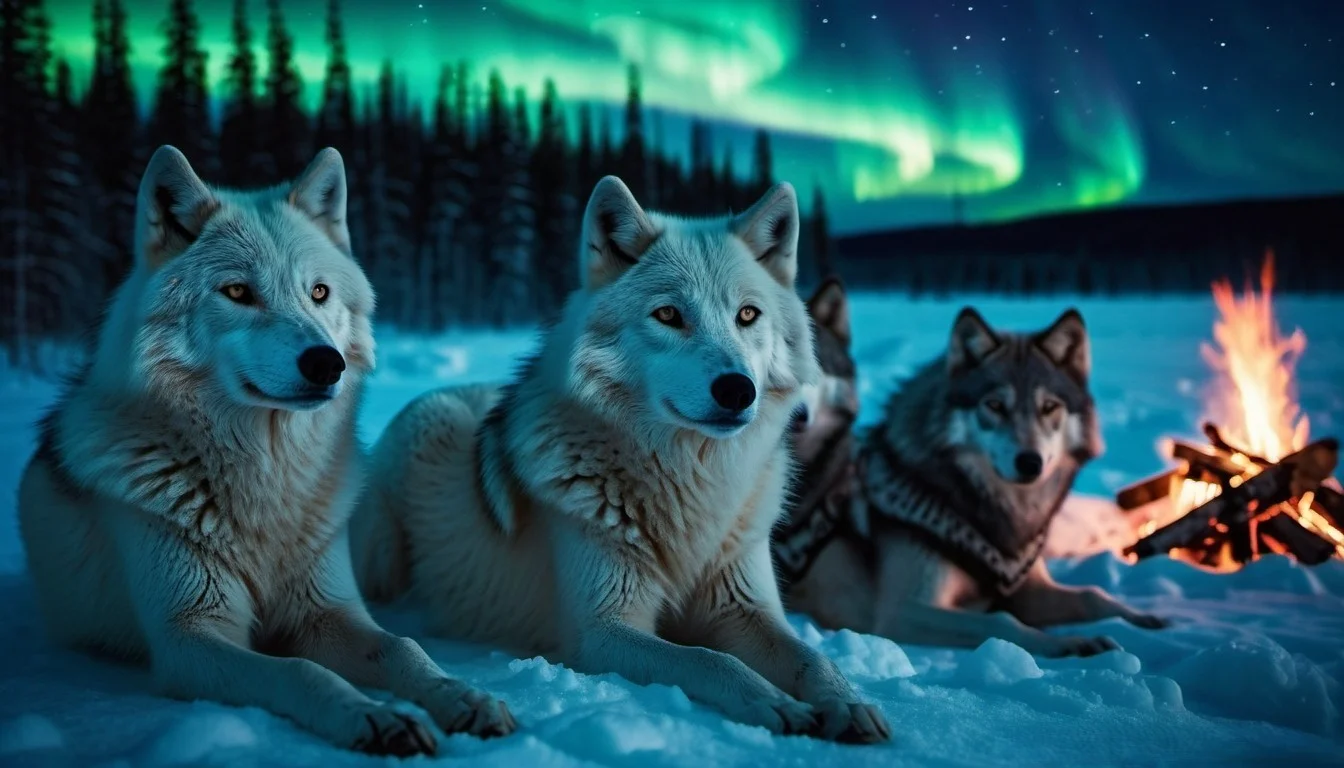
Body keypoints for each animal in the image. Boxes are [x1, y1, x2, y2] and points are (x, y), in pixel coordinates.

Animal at [18, 146, 516, 756]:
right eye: (237, 292)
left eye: (318, 292)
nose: (327, 363)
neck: (267, 480)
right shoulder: (192, 638)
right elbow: (299, 671)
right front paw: (374, 717)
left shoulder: (327, 612)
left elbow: (404, 648)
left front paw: (465, 697)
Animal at [351, 176, 890, 743]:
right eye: (669, 315)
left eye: (748, 314)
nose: (738, 390)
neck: (692, 482)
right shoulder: (604, 631)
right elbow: (710, 660)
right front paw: (776, 703)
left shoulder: (745, 608)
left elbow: (814, 658)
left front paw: (850, 704)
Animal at [784, 307, 1168, 657]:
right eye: (995, 405)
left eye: (1049, 407)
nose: (1030, 462)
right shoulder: (901, 611)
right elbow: (1002, 621)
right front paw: (1071, 643)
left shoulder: (1028, 590)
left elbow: (1092, 595)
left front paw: (1141, 618)